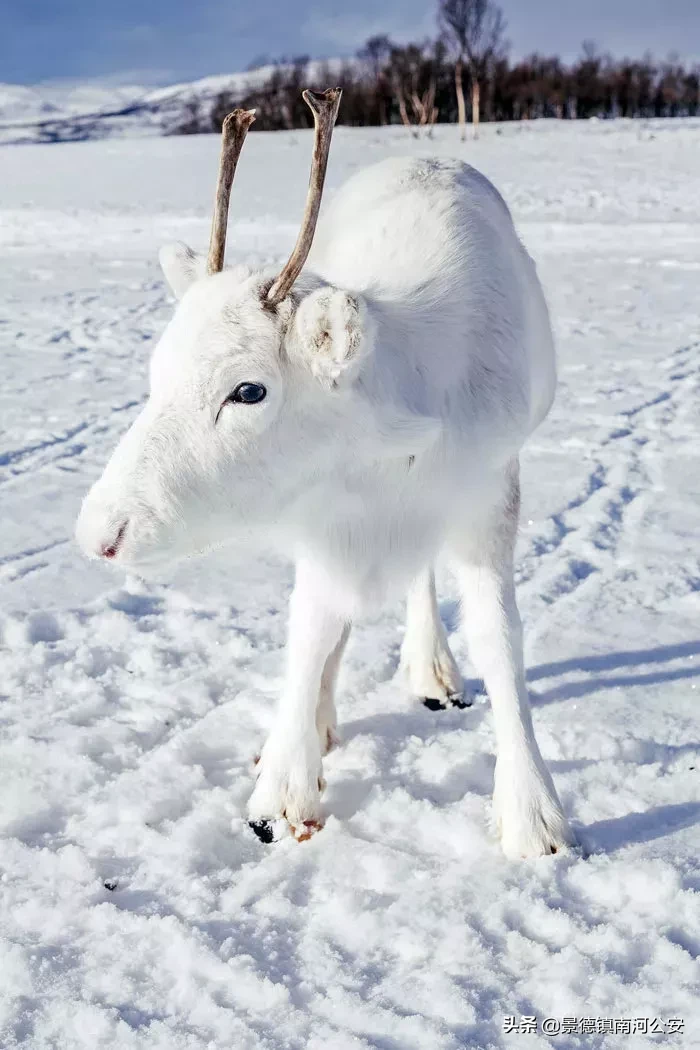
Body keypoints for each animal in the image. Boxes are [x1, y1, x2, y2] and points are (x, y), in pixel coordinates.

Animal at [79, 90, 579, 856]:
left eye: (248, 390)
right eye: (157, 370)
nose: (102, 533)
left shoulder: (488, 493)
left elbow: (500, 639)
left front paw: (533, 815)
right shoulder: (321, 518)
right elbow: (312, 629)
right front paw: (285, 785)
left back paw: (431, 669)